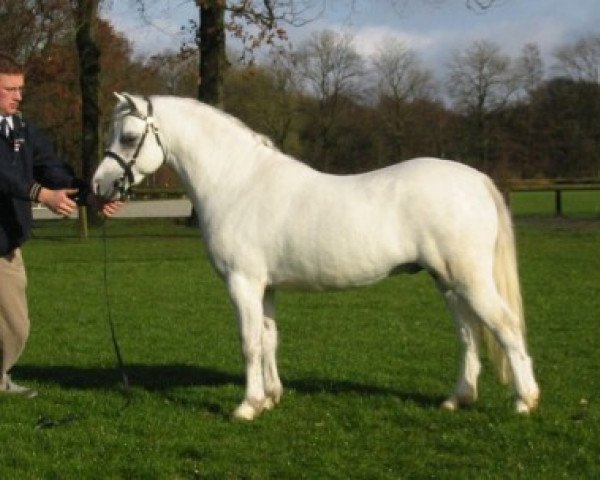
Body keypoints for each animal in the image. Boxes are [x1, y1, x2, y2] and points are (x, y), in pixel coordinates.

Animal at [92, 94, 540, 420]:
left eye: (128, 137)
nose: (99, 186)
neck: (238, 183)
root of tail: (476, 179)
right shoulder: (266, 287)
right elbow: (270, 339)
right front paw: (271, 397)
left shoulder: (243, 283)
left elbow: (249, 343)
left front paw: (247, 407)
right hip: (446, 281)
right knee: (469, 333)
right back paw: (458, 398)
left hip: (468, 279)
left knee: (504, 327)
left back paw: (525, 400)